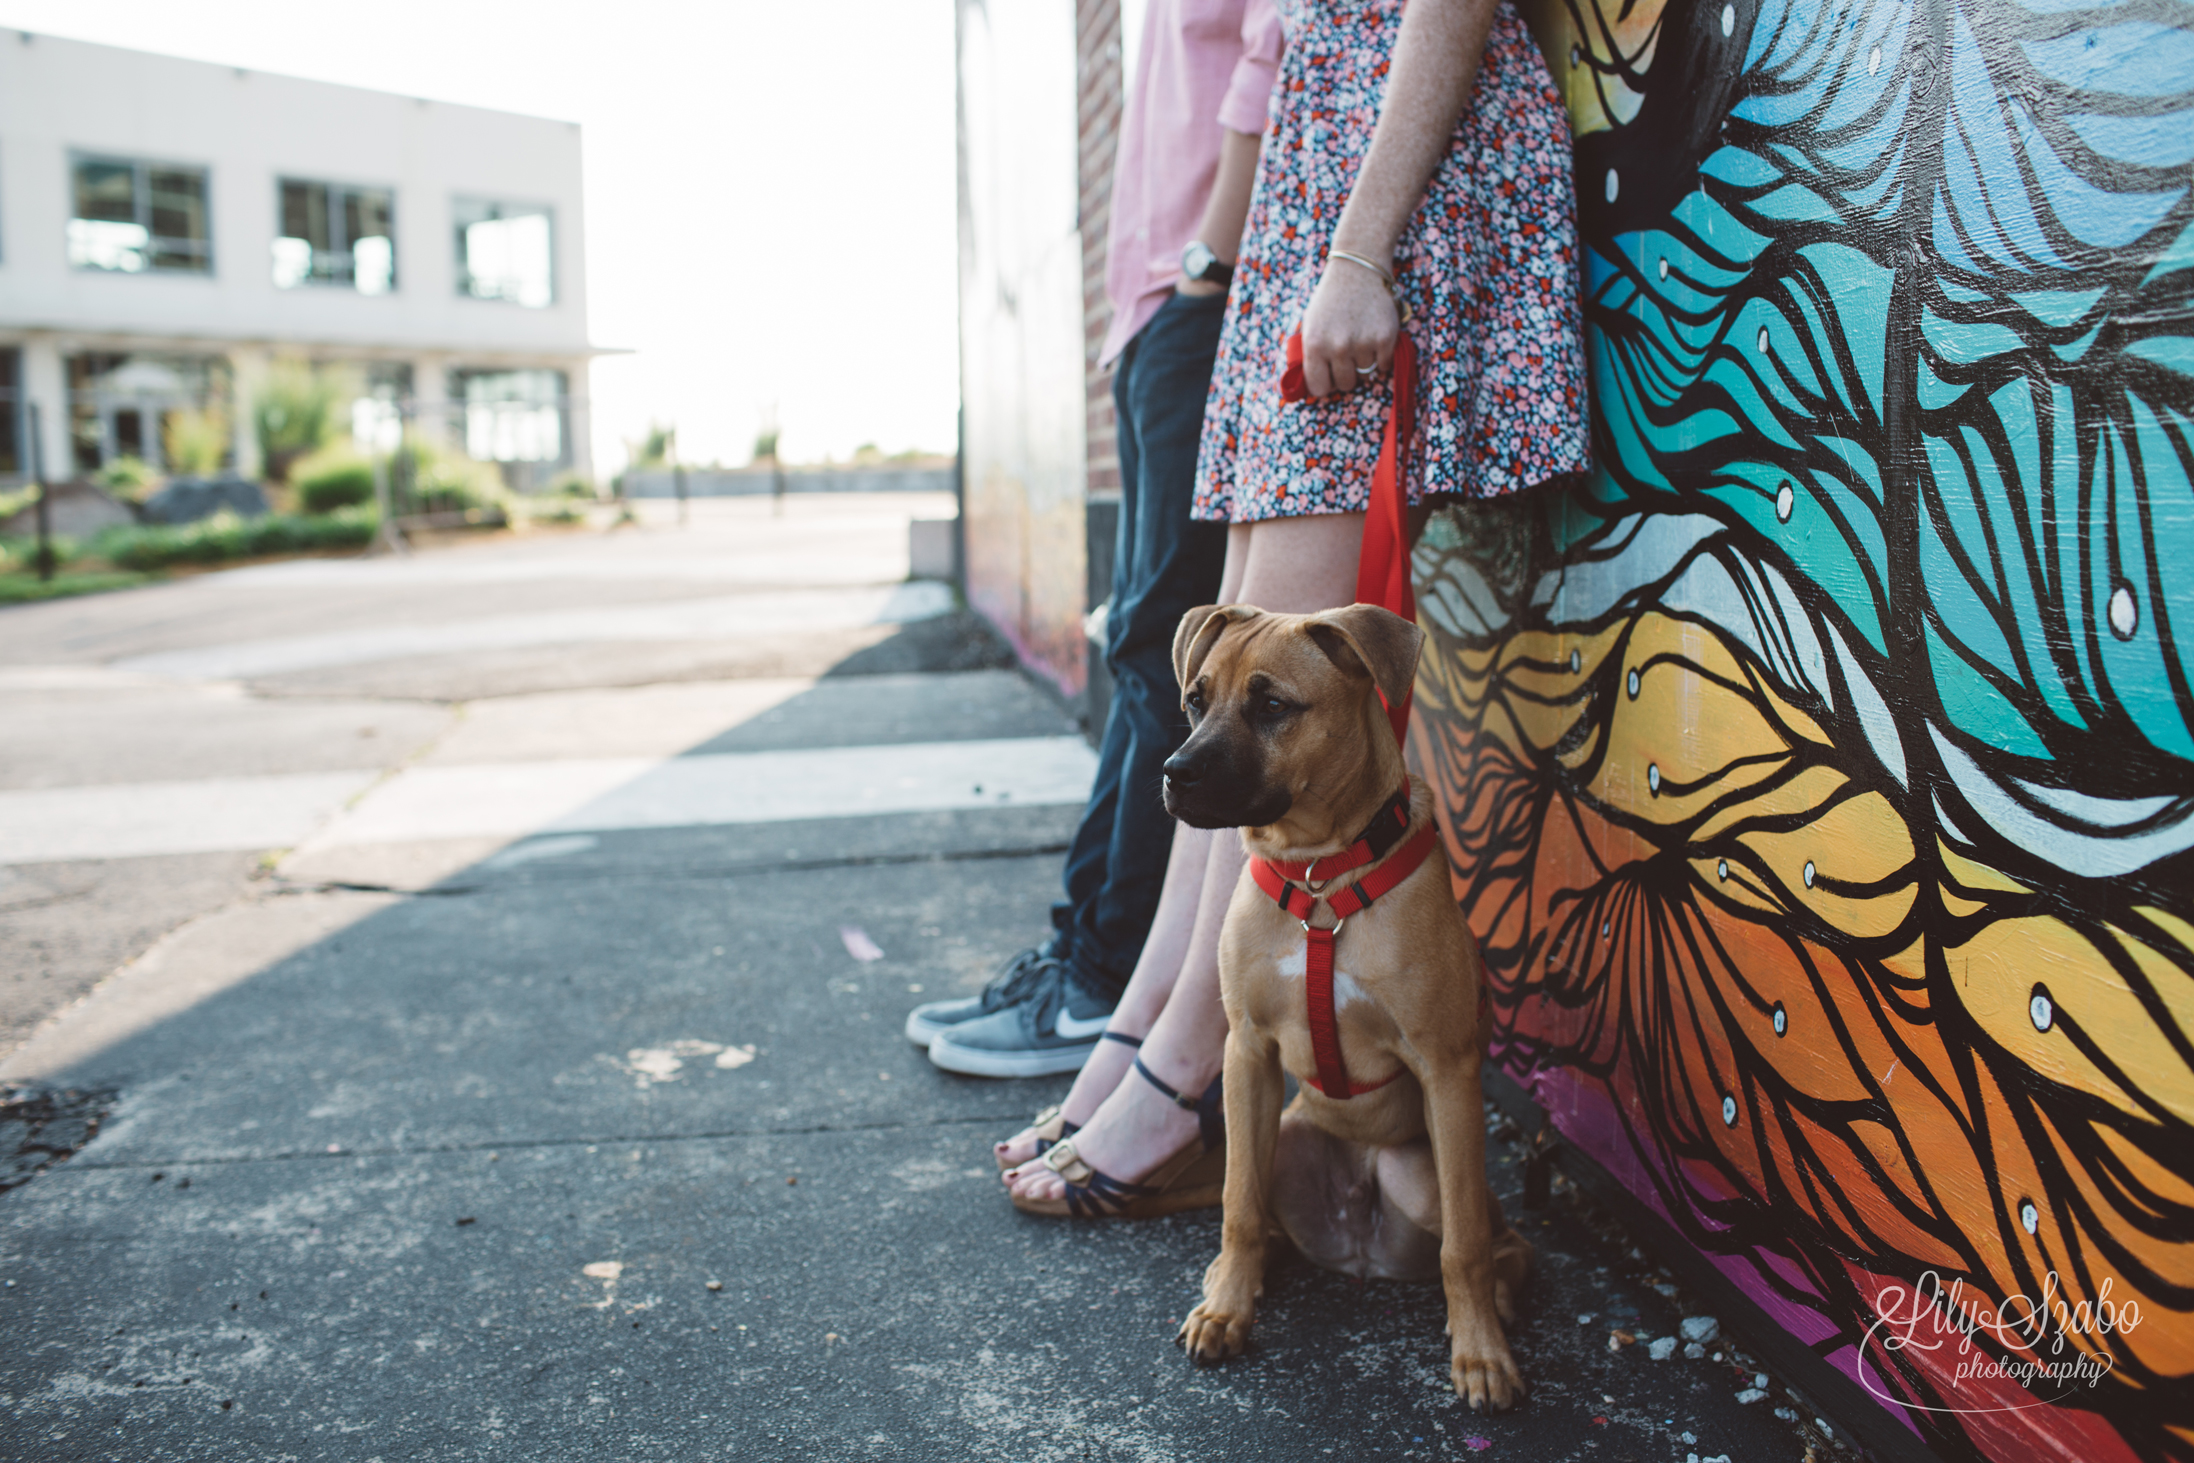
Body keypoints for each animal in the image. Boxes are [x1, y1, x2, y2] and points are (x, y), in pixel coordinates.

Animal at [1158, 605, 1535, 1403]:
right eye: (1195, 701)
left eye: (1273, 705)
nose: (1173, 773)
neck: (1320, 872)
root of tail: (1359, 1246)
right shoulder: (1247, 1052)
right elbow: (1236, 1206)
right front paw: (1228, 1309)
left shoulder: (1449, 1070)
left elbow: (1464, 1246)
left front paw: (1482, 1353)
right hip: (1283, 1135)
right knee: (1260, 1209)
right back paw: (1233, 1275)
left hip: (1422, 1175)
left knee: (1498, 1235)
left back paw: (1504, 1294)